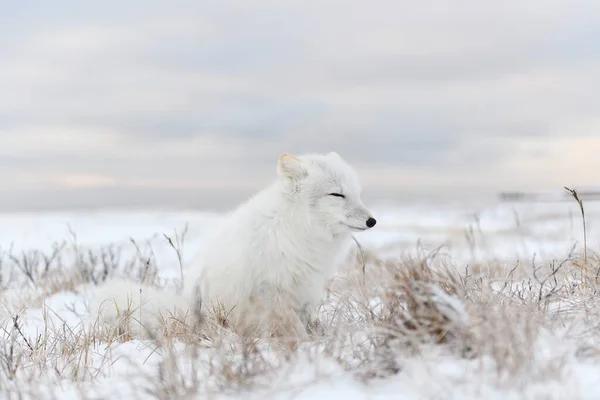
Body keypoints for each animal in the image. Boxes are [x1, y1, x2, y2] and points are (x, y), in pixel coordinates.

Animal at [90, 152, 376, 338]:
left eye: (357, 193)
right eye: (337, 194)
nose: (372, 221)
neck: (297, 229)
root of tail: (185, 308)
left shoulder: (306, 288)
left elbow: (303, 320)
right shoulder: (271, 289)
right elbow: (292, 326)